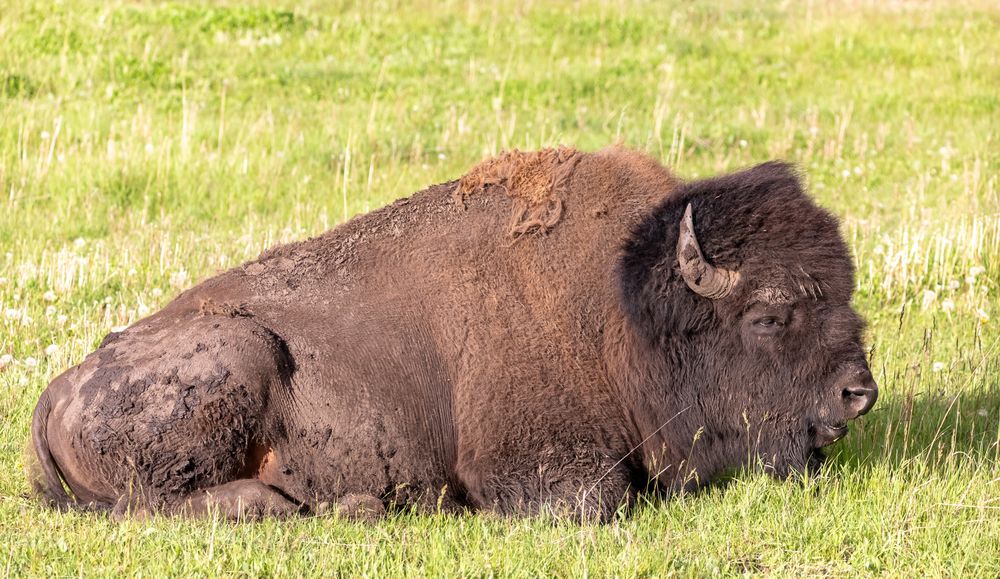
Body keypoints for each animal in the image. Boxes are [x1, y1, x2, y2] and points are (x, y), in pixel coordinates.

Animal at [28, 146, 877, 521]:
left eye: (848, 297)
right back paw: (344, 506)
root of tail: (56, 389)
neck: (620, 307)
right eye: (769, 315)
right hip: (240, 355)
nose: (858, 393)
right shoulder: (529, 464)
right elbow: (594, 500)